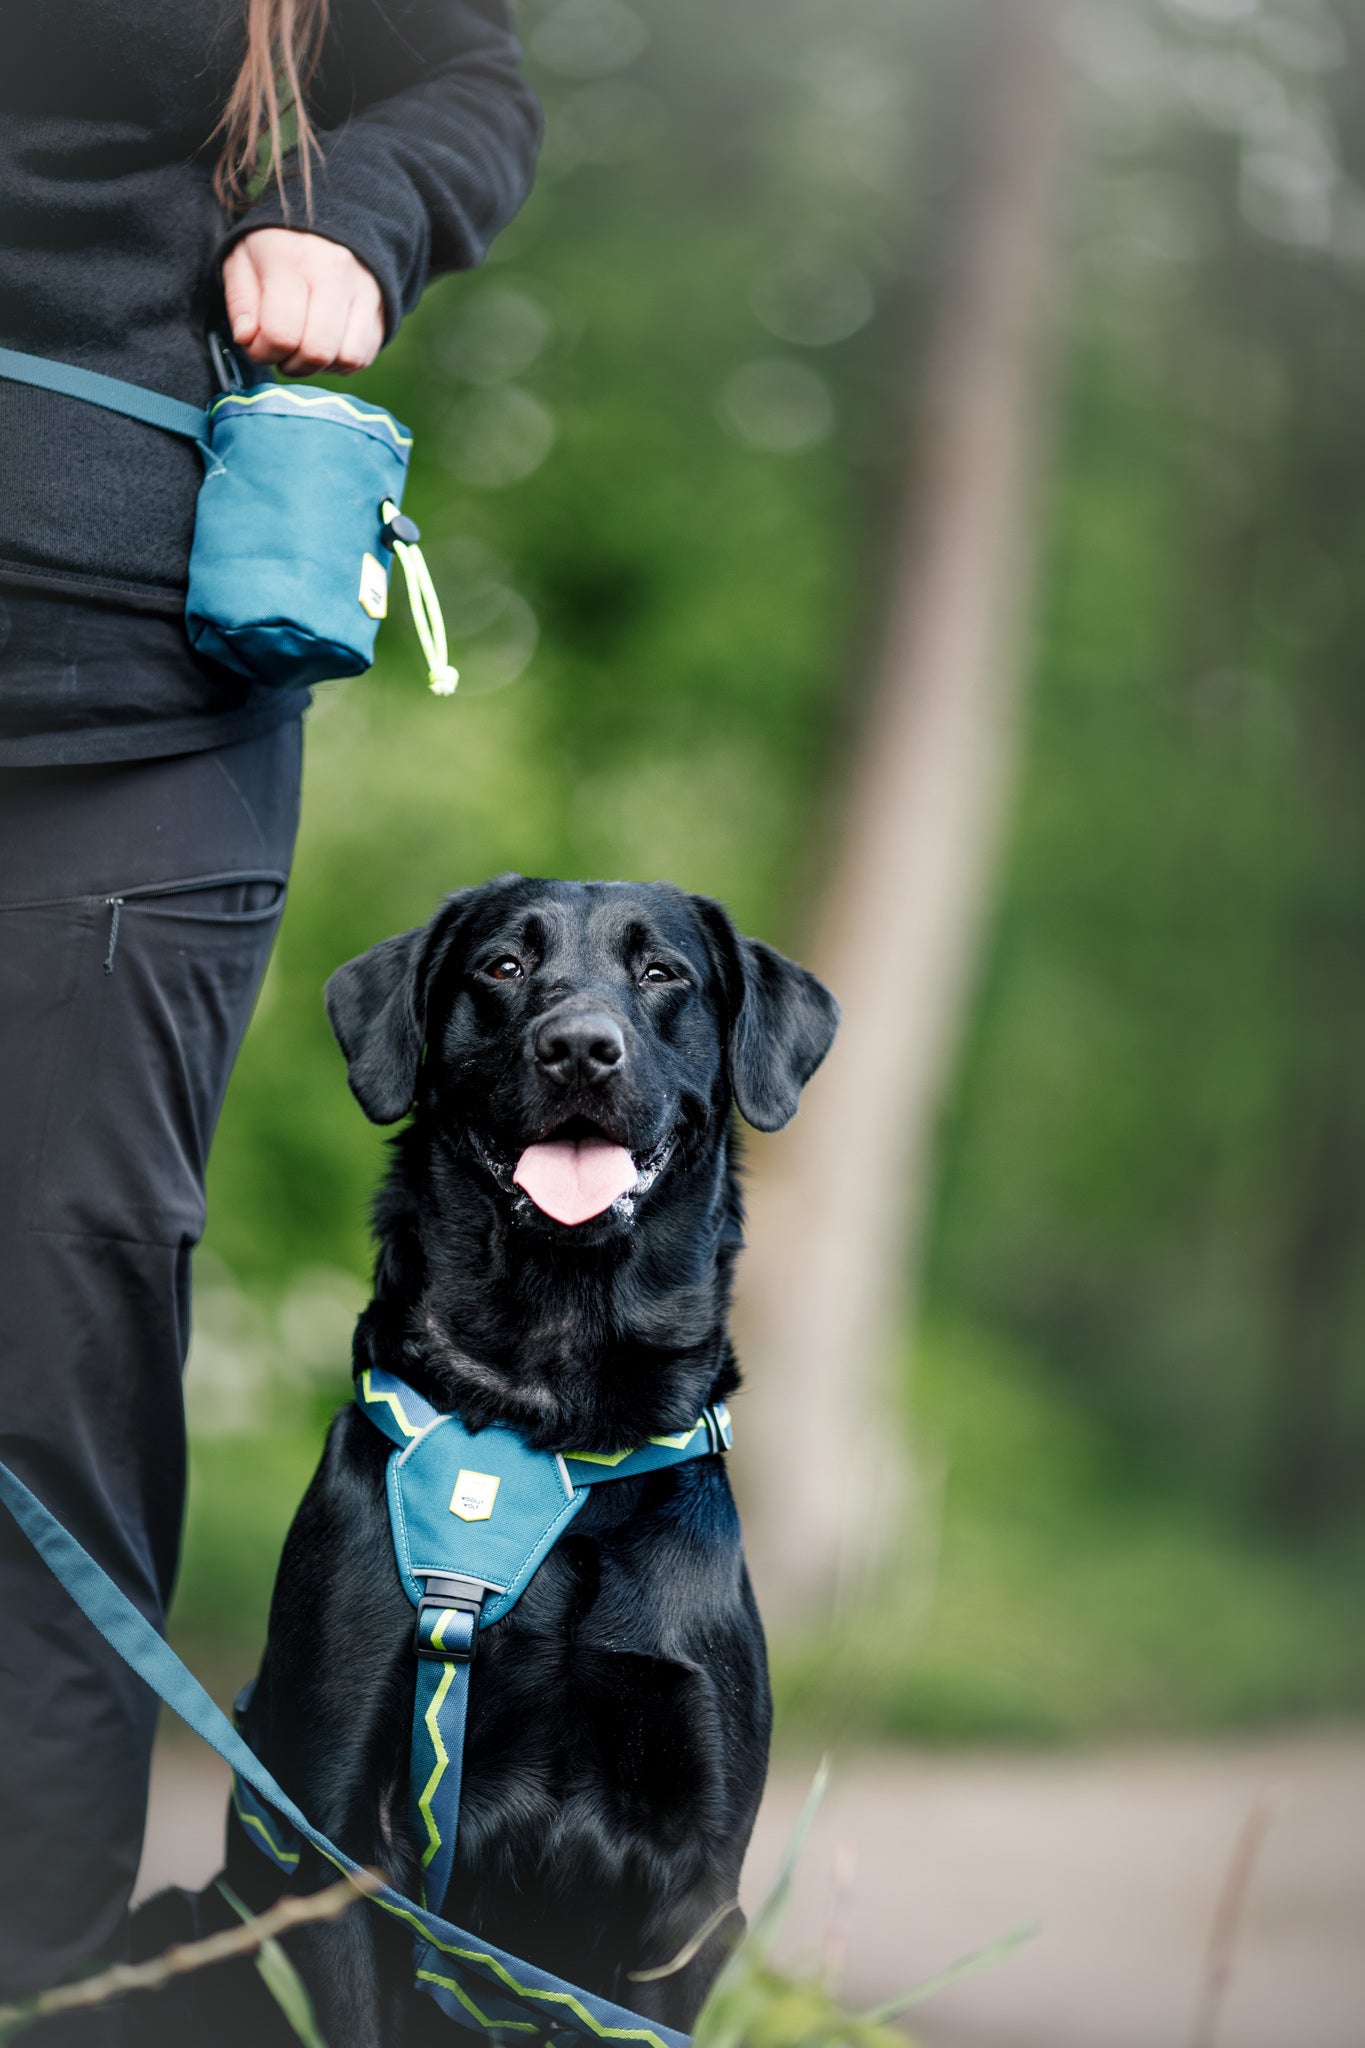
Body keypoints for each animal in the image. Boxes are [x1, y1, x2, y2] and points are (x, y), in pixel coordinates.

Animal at [153, 876, 834, 2048]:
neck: (549, 1420)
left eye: (663, 973)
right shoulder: (333, 1834)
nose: (580, 1048)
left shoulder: (691, 1896)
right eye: (503, 968)